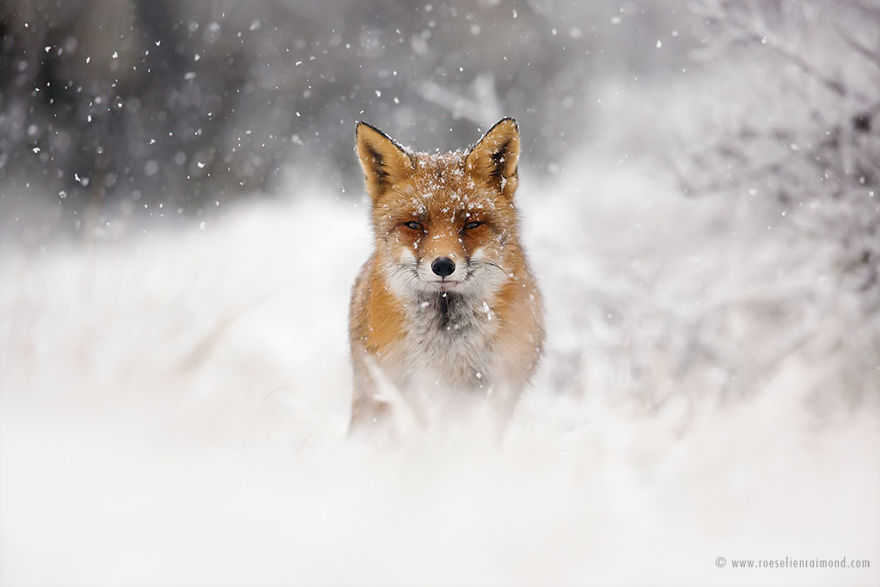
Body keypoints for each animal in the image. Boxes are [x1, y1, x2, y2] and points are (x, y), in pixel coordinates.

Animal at [348, 117, 544, 430]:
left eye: (472, 224)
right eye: (414, 224)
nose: (442, 265)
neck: (447, 337)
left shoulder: (498, 386)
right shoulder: (405, 387)